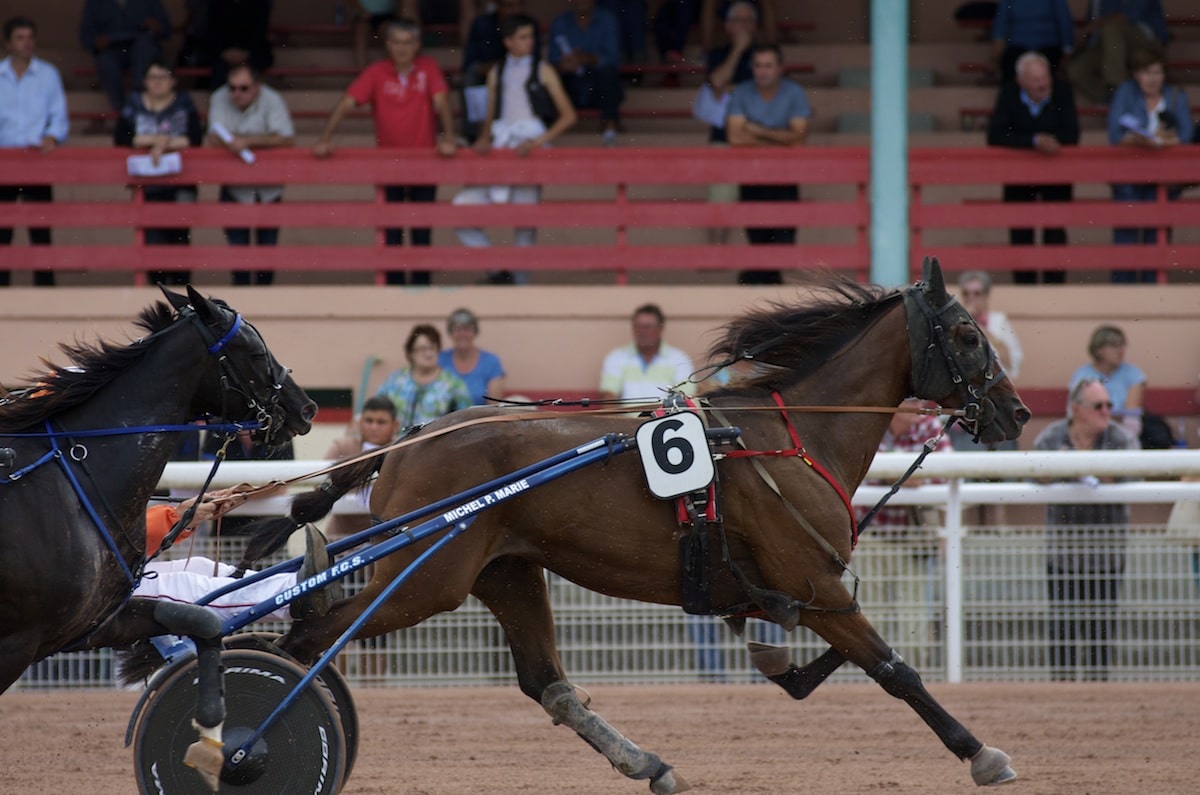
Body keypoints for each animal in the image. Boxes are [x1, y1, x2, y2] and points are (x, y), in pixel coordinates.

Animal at [0, 288, 316, 715]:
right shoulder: (16, 642)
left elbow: (202, 623)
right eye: (255, 352)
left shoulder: (98, 622)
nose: (306, 408)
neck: (72, 478)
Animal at [276, 260, 1027, 792]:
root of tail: (404, 441)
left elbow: (807, 656)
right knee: (306, 639)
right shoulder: (816, 582)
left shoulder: (796, 589)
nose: (1015, 413)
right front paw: (981, 752)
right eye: (968, 334)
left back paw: (650, 764)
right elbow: (895, 670)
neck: (791, 435)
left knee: (547, 683)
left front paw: (774, 656)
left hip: (507, 572)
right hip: (426, 579)